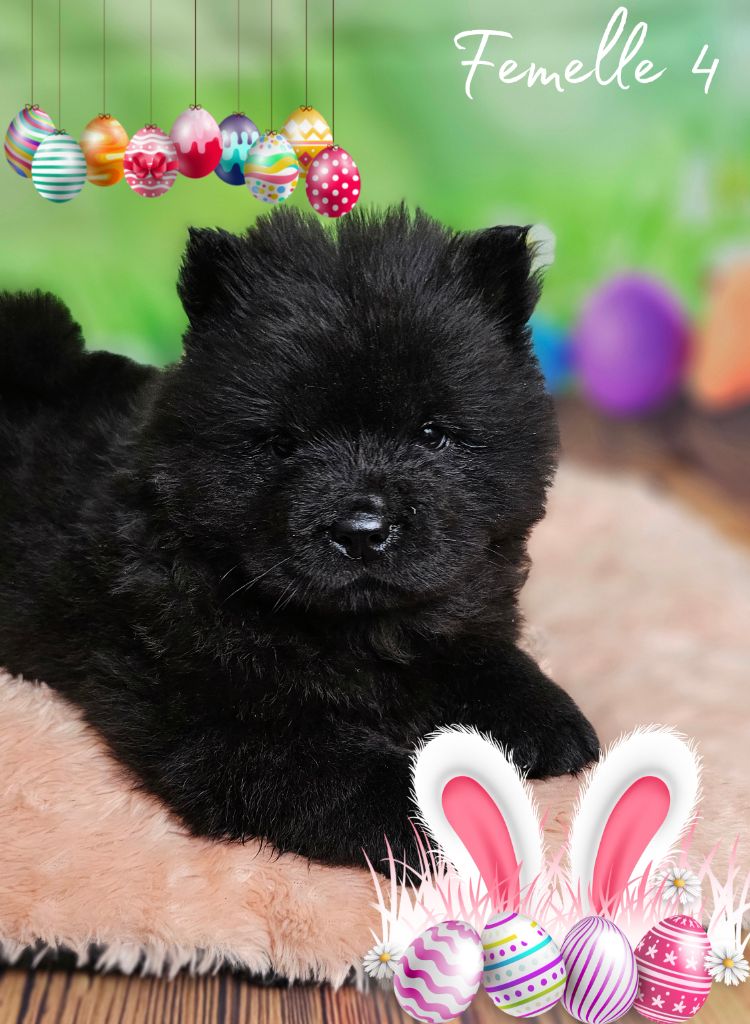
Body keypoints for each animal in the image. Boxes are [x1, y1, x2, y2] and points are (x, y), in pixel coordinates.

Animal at [0, 207, 598, 869]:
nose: (362, 530)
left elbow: (480, 655)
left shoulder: (453, 608)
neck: (353, 629)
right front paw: (443, 816)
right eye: (284, 443)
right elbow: (345, 769)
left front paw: (551, 721)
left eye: (432, 434)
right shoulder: (225, 713)